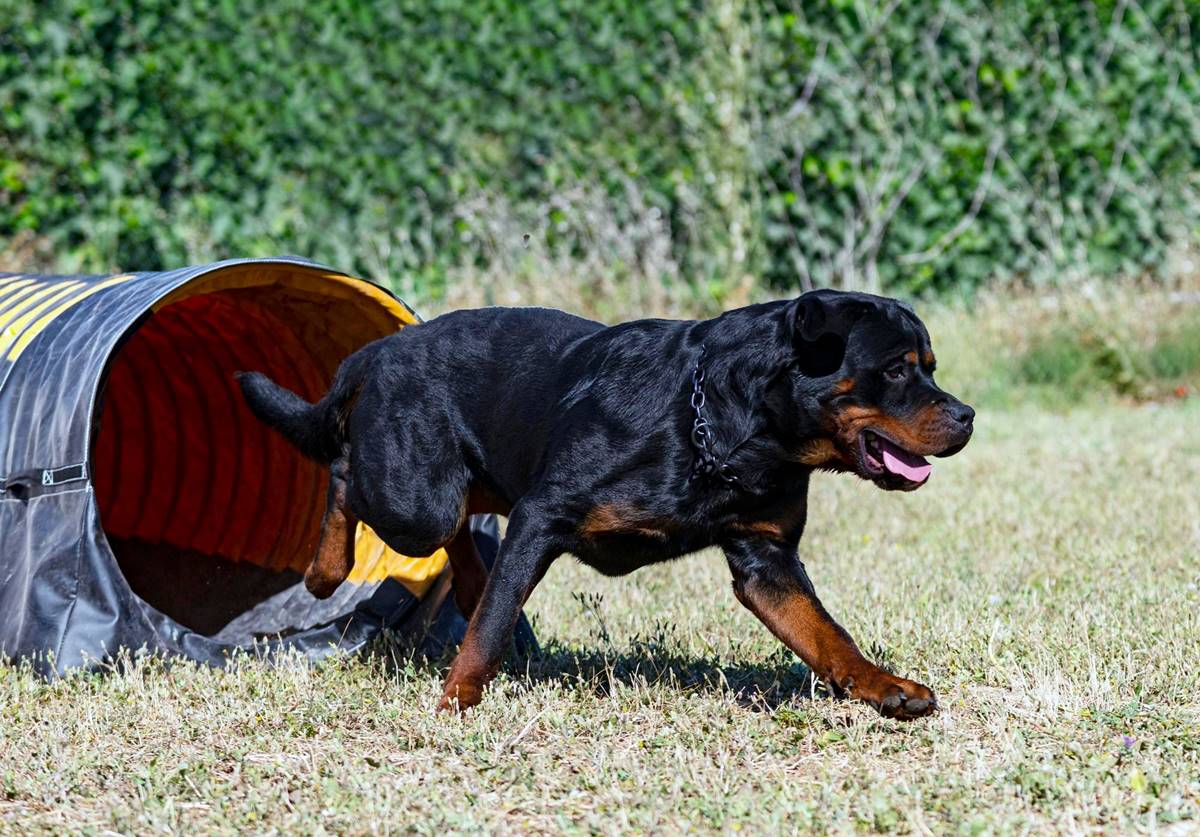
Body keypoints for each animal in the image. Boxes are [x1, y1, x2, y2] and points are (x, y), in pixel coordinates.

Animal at [238, 288, 969, 719]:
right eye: (898, 368)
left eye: (932, 366)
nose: (964, 415)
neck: (726, 426)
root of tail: (376, 350)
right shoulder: (543, 515)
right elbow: (493, 626)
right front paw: (457, 703)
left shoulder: (767, 557)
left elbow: (824, 632)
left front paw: (883, 686)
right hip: (412, 497)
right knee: (345, 473)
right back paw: (326, 571)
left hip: (461, 481)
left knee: (461, 522)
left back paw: (468, 579)